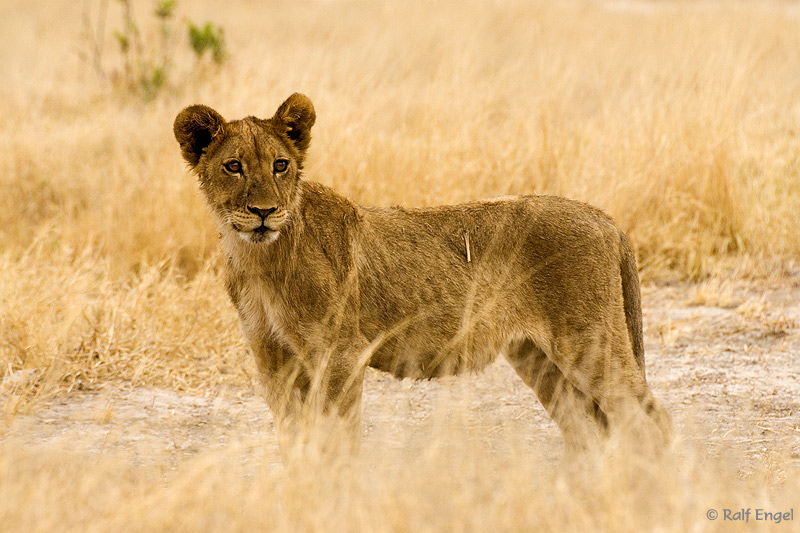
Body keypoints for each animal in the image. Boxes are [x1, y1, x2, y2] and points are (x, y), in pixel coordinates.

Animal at [173, 92, 668, 448]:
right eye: (233, 166)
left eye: (281, 165)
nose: (264, 212)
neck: (259, 259)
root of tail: (603, 217)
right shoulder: (272, 358)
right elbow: (295, 442)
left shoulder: (340, 354)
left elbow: (338, 441)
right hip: (536, 355)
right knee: (587, 429)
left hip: (590, 341)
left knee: (651, 421)